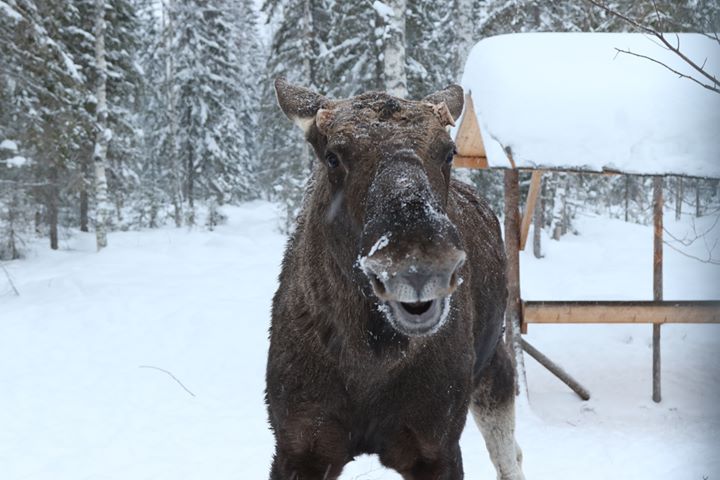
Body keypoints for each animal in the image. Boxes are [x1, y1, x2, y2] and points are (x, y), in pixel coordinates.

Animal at [268, 79, 524, 480]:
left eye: (448, 152)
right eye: (333, 156)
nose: (419, 265)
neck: (370, 357)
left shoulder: (435, 444)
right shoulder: (299, 443)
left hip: (493, 364)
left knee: (511, 457)